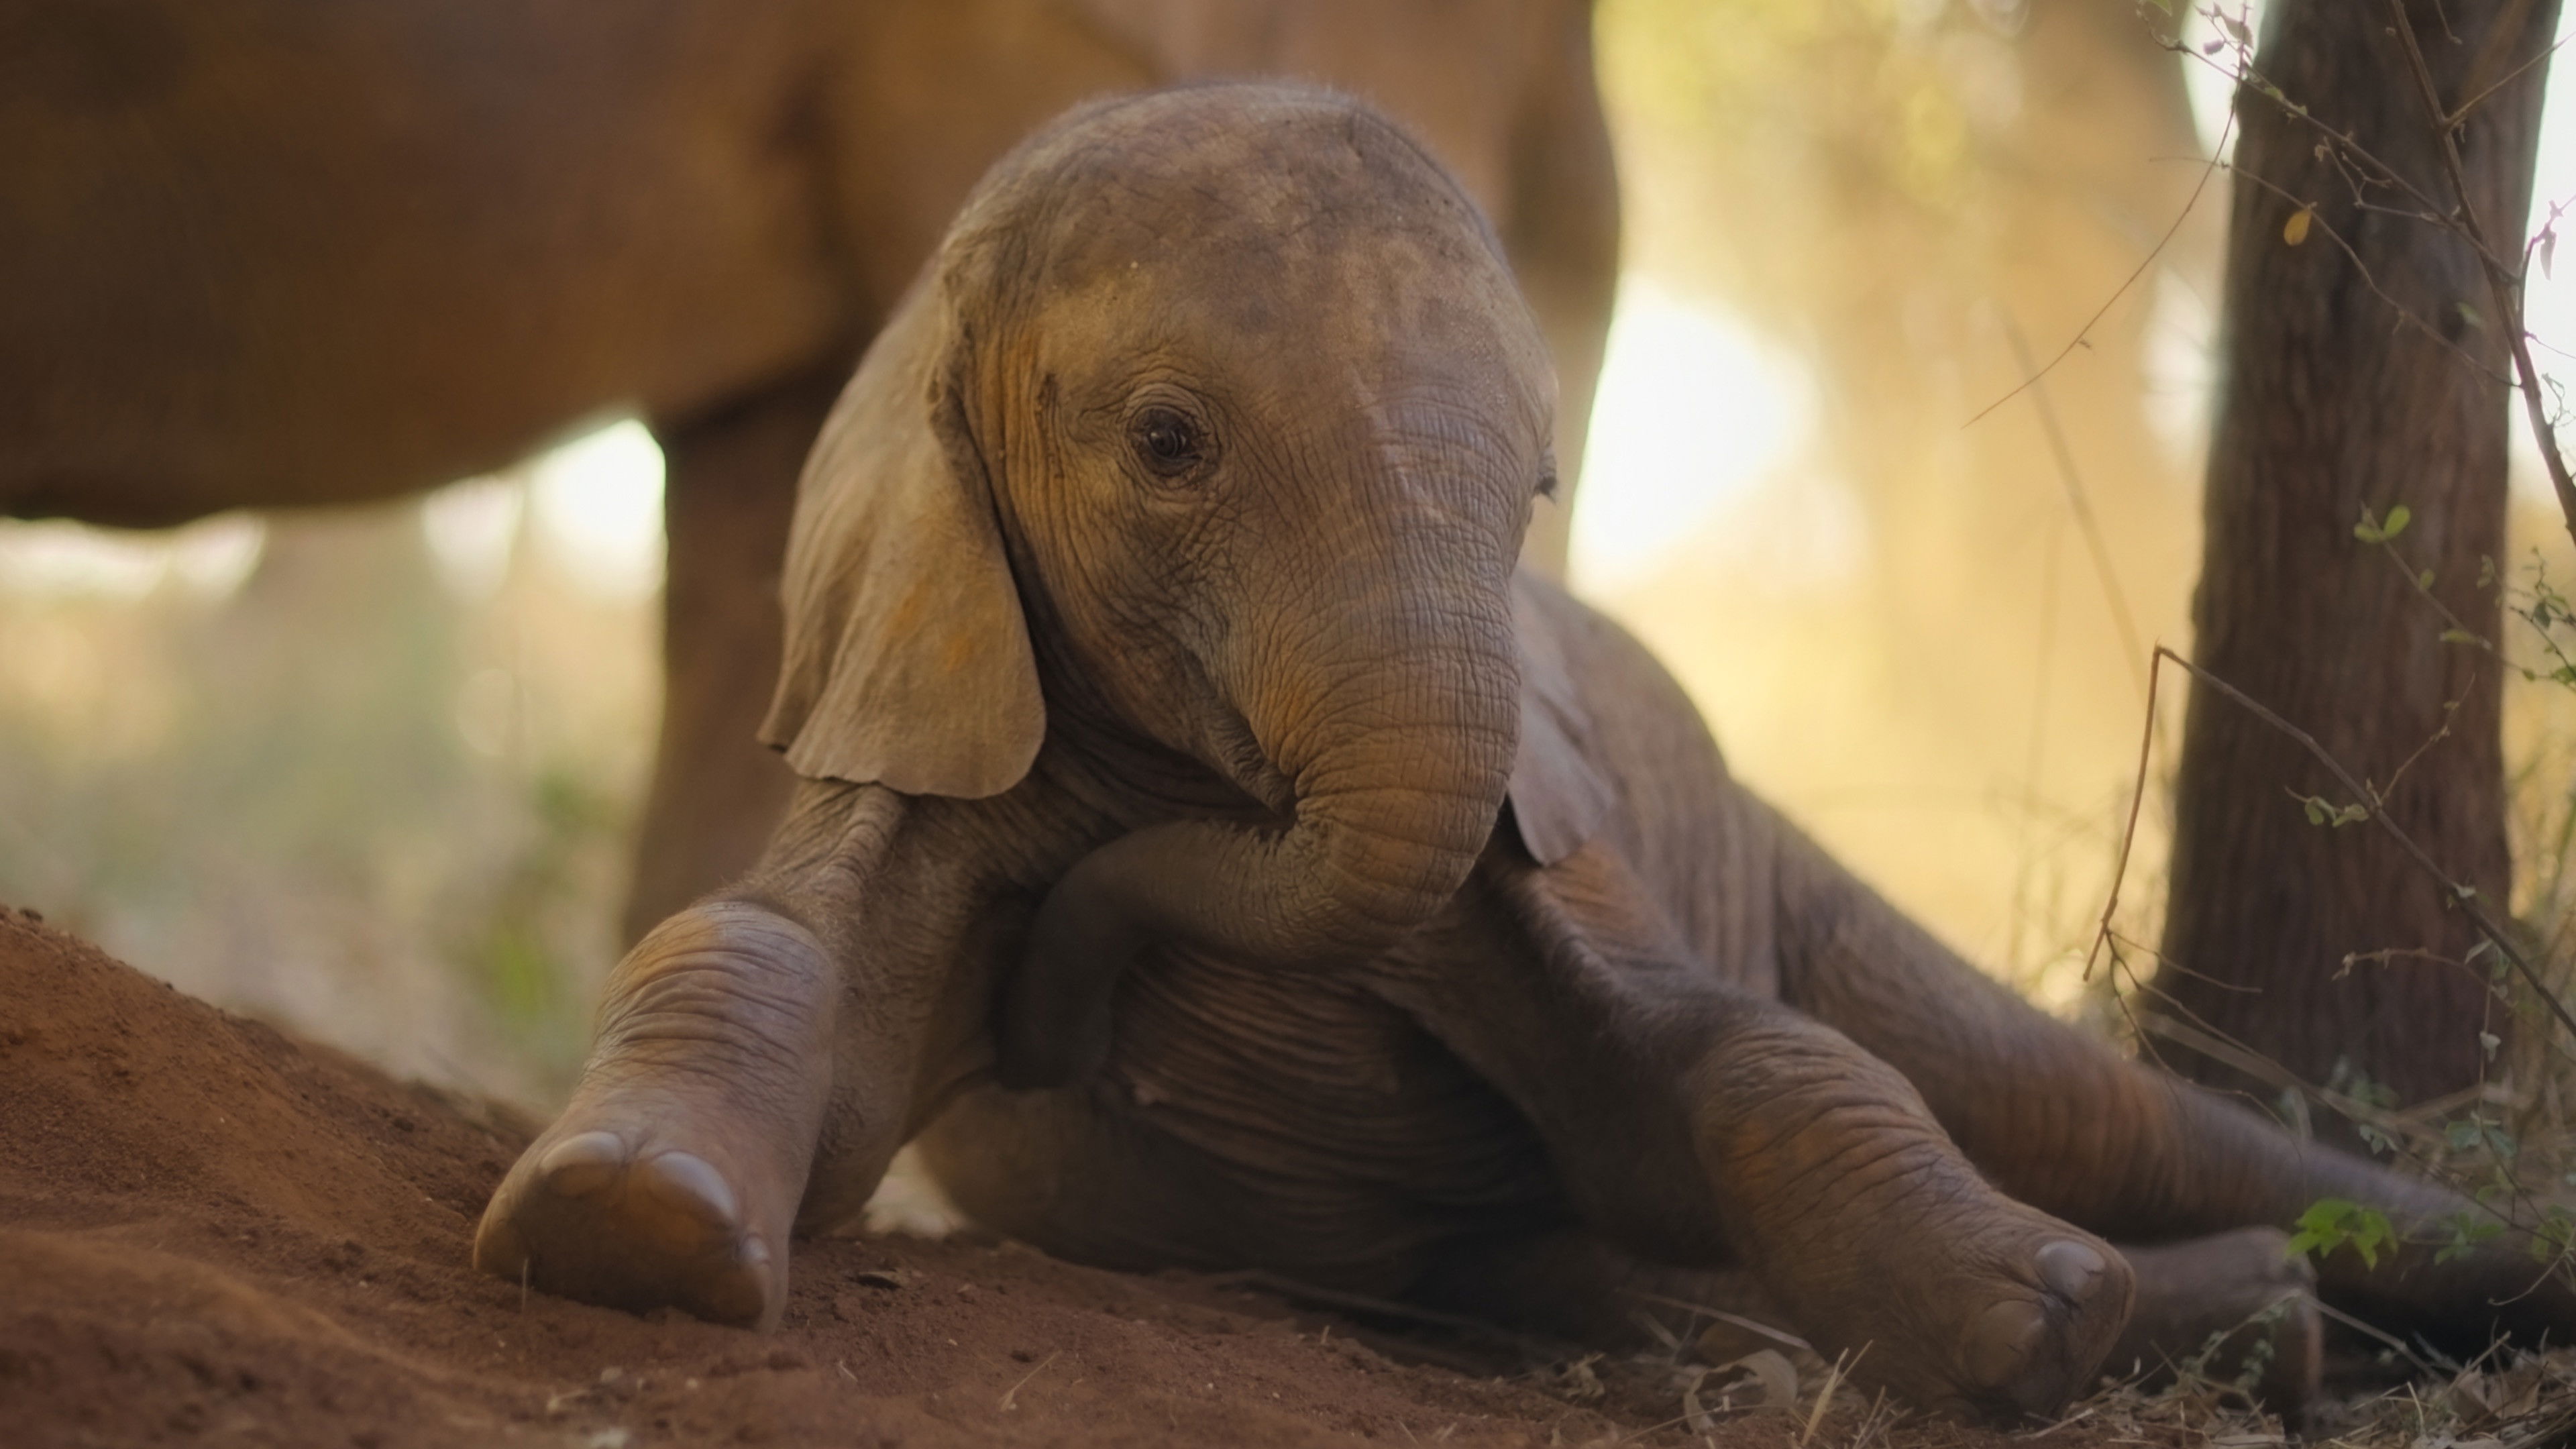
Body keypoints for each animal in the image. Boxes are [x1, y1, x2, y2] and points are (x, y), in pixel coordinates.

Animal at [468, 83, 2574, 1420]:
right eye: (1167, 445)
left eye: (1543, 490)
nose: (1064, 1016)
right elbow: (759, 953)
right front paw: (635, 1218)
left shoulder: (1543, 838)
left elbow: (1731, 1058)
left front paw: (2042, 1313)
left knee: (2080, 1107)